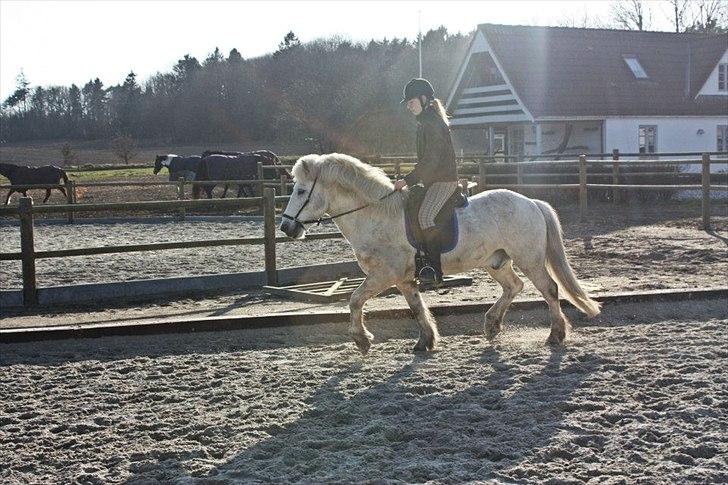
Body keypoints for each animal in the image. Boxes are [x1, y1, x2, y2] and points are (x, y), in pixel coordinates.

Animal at [282, 153, 600, 354]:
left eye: (300, 191)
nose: (286, 227)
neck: (376, 215)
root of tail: (532, 202)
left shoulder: (385, 274)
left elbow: (355, 299)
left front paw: (362, 340)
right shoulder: (404, 279)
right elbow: (416, 307)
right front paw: (425, 341)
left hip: (529, 259)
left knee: (549, 289)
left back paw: (555, 335)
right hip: (496, 262)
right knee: (514, 286)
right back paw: (492, 325)